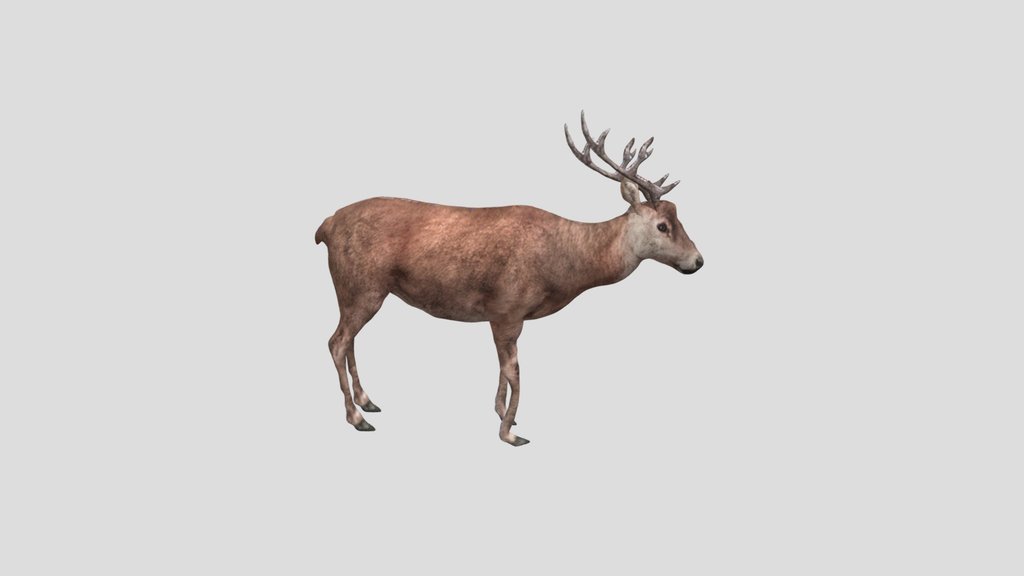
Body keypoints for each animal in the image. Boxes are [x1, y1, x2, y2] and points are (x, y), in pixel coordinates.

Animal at [315, 112, 704, 446]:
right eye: (663, 226)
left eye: (677, 217)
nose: (698, 260)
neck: (563, 266)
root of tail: (325, 227)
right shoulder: (507, 308)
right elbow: (515, 371)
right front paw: (510, 433)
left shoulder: (502, 315)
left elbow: (504, 371)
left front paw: (504, 414)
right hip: (362, 285)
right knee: (336, 341)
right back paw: (357, 417)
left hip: (356, 291)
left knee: (349, 341)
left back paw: (368, 401)